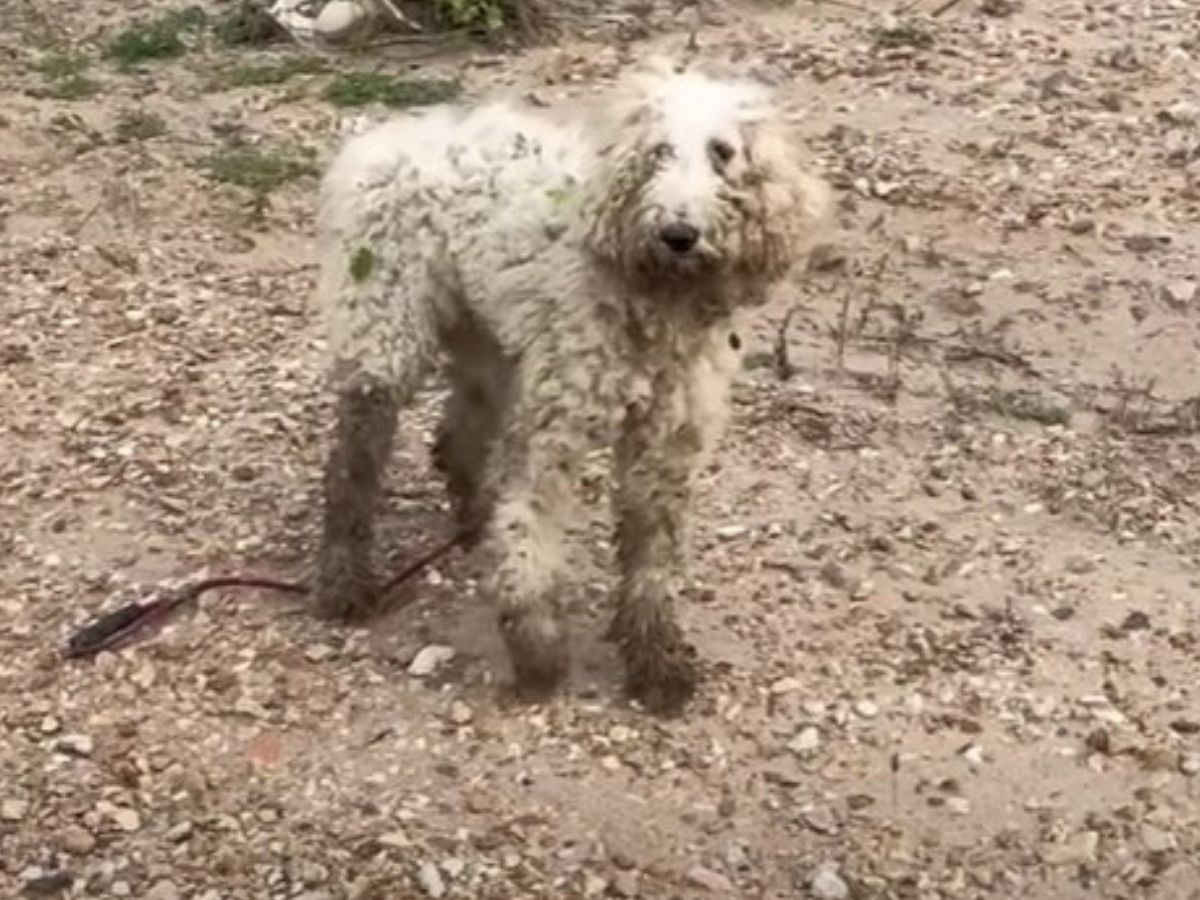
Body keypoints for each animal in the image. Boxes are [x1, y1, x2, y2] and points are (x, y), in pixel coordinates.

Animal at [314, 60, 830, 715]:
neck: (651, 298)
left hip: (490, 350)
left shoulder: (665, 442)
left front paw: (656, 663)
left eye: (723, 153)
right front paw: (537, 652)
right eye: (658, 152)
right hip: (386, 329)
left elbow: (653, 561)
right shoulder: (555, 427)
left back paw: (472, 521)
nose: (679, 233)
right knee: (350, 468)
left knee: (456, 437)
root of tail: (384, 138)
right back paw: (344, 582)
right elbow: (530, 529)